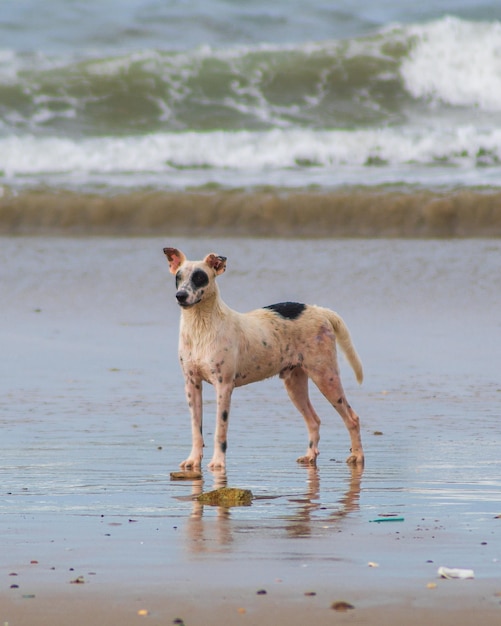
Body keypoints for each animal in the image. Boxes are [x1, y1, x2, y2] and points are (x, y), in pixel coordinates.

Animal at [164, 245, 364, 468]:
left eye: (200, 277)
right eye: (178, 277)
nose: (180, 295)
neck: (201, 327)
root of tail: (319, 310)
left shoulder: (223, 387)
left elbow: (220, 430)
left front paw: (218, 462)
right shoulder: (192, 386)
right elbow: (196, 430)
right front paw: (193, 460)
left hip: (326, 377)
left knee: (352, 418)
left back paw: (357, 456)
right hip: (295, 385)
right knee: (314, 420)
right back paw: (310, 455)